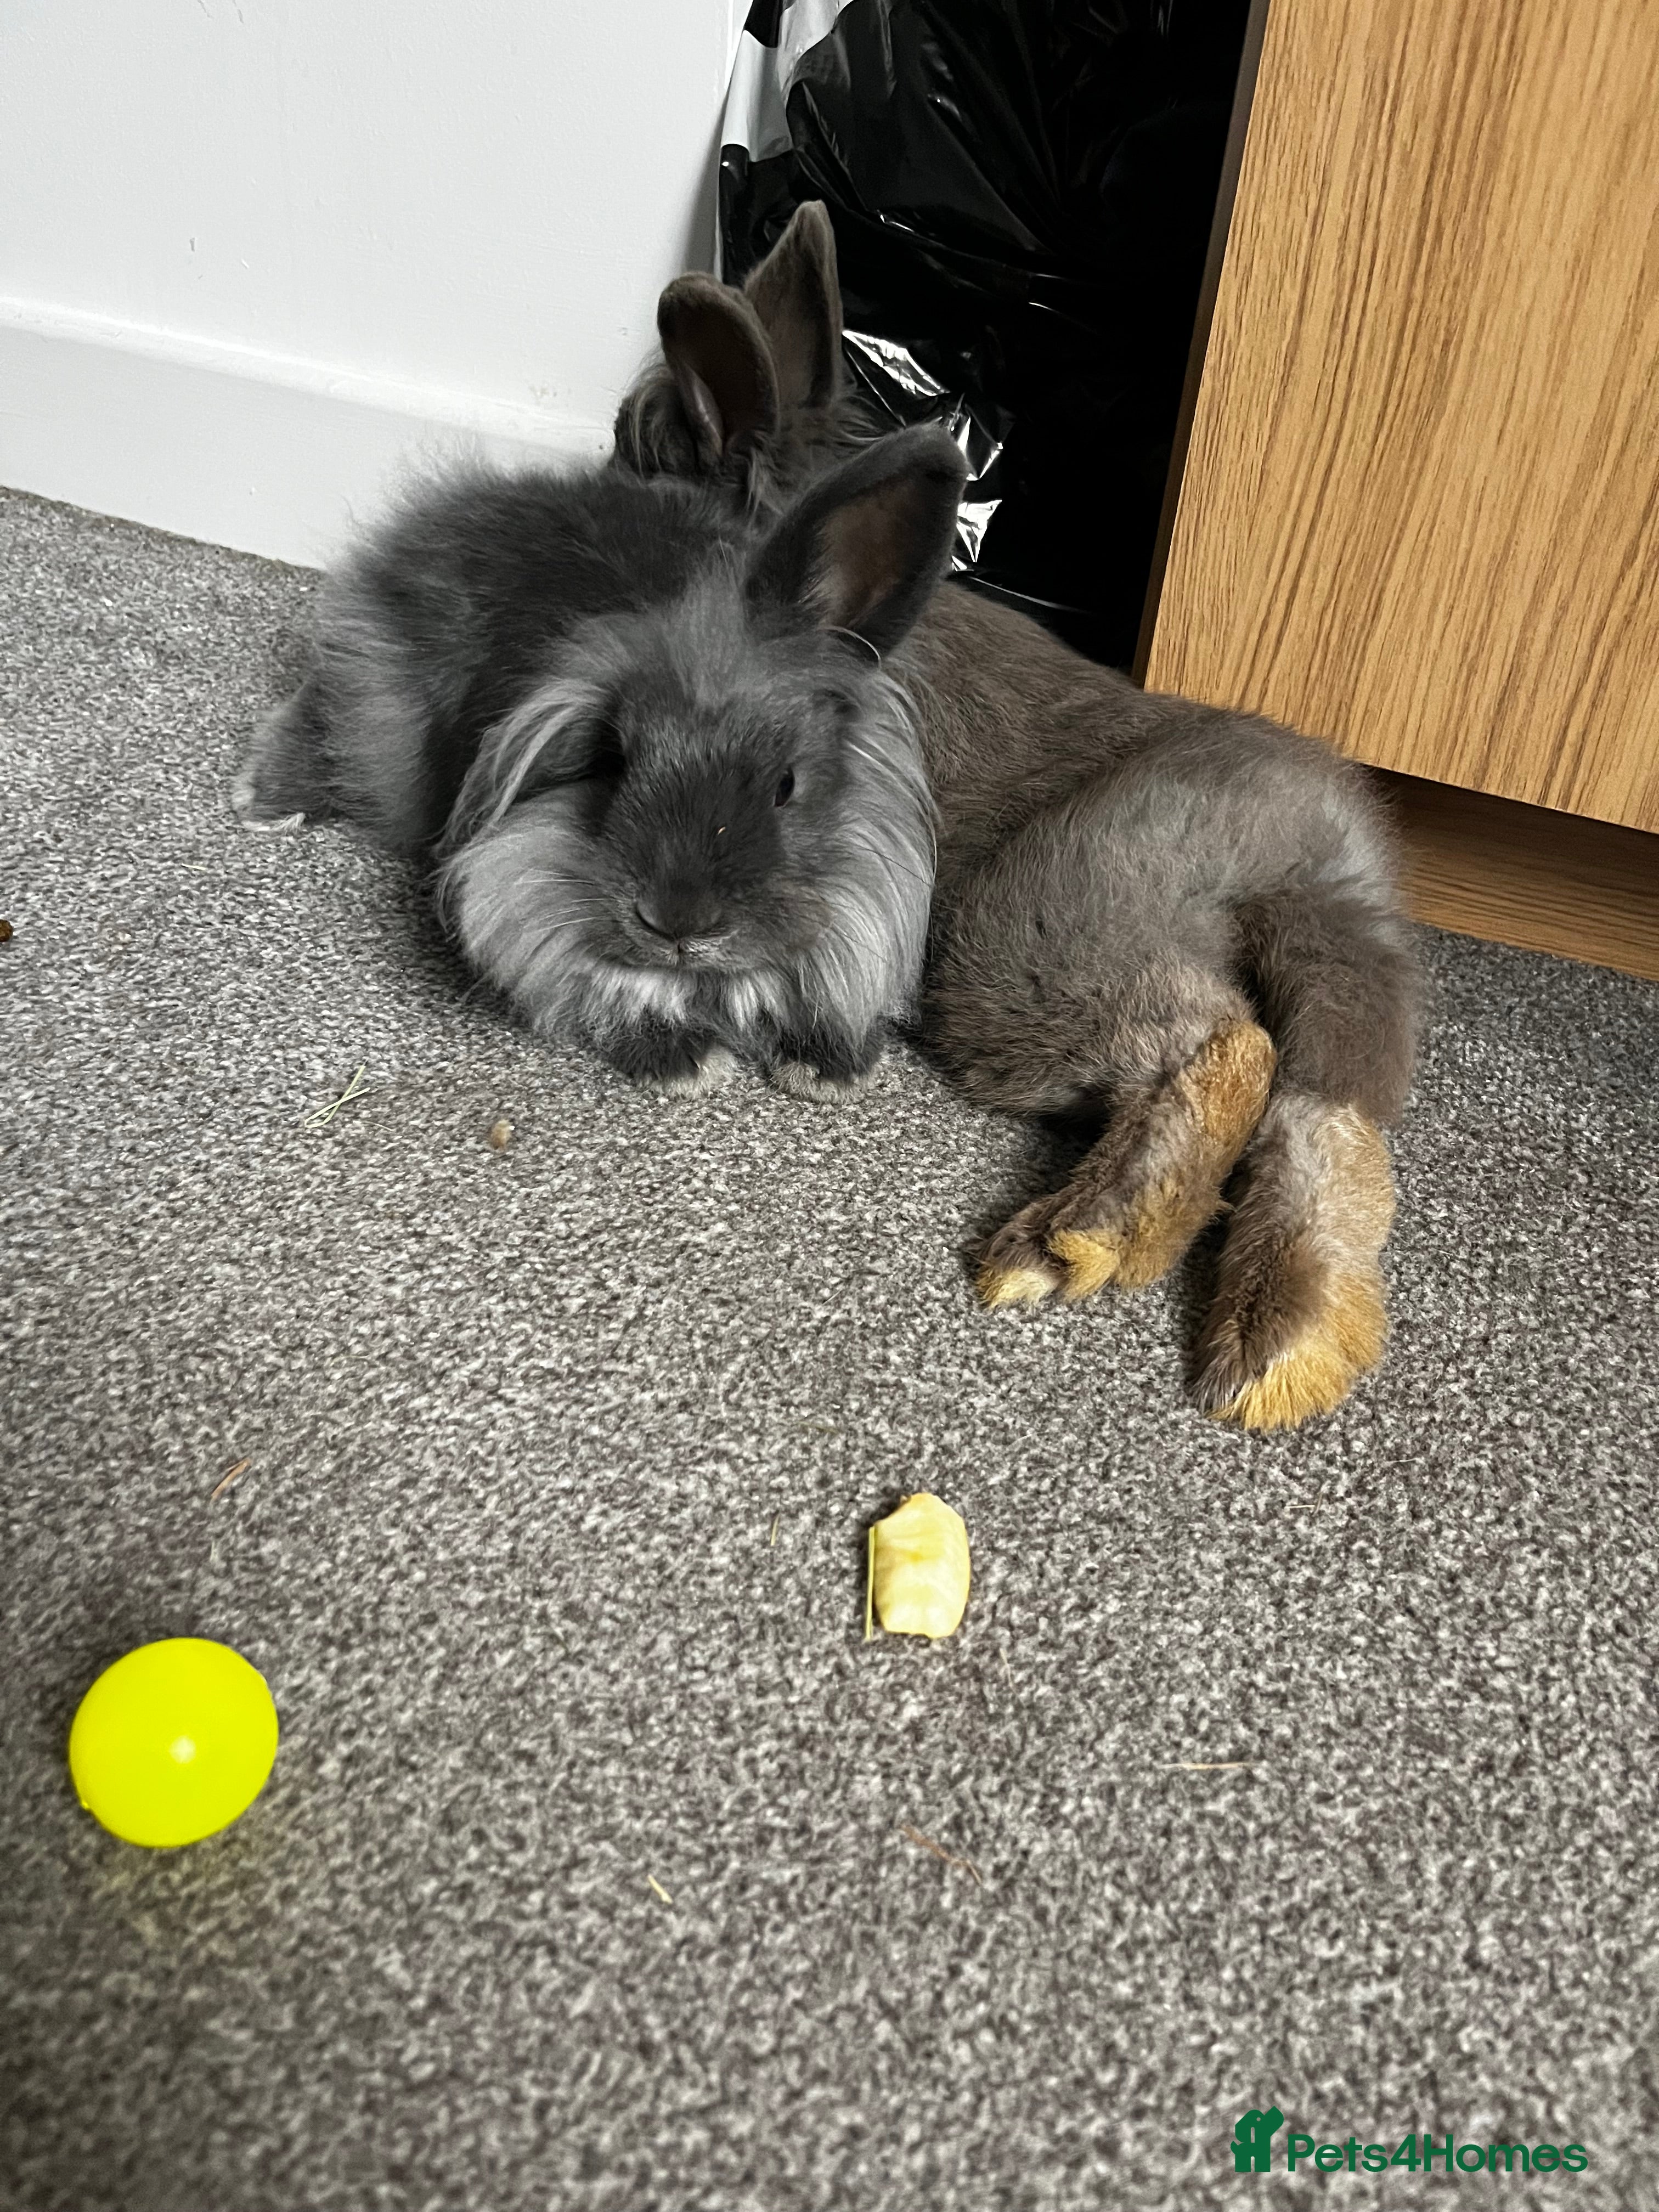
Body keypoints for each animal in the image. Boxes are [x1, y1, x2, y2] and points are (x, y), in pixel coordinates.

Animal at [232, 426, 968, 1097]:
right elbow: (601, 983)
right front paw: (686, 1062)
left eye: (785, 785)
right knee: (326, 719)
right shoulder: (514, 883)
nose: (677, 922)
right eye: (610, 761)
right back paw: (263, 799)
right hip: (386, 721)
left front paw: (832, 1068)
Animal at [615, 204, 1422, 1431]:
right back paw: (1280, 1346)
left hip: (1023, 940)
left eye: (641, 453)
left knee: (1218, 1047)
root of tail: (1310, 836)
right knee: (1320, 1125)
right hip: (1310, 996)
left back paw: (1073, 1241)